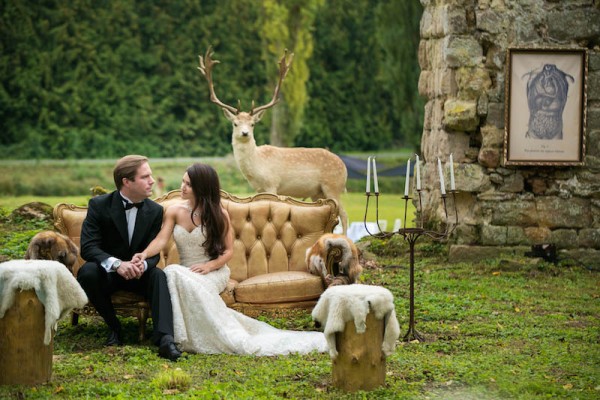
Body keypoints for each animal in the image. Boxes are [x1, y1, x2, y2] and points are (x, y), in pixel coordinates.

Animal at [198, 47, 346, 234]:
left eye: (253, 124)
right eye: (235, 123)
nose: (245, 133)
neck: (258, 165)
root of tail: (345, 168)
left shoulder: (272, 184)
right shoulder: (258, 189)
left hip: (333, 185)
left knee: (344, 215)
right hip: (317, 192)